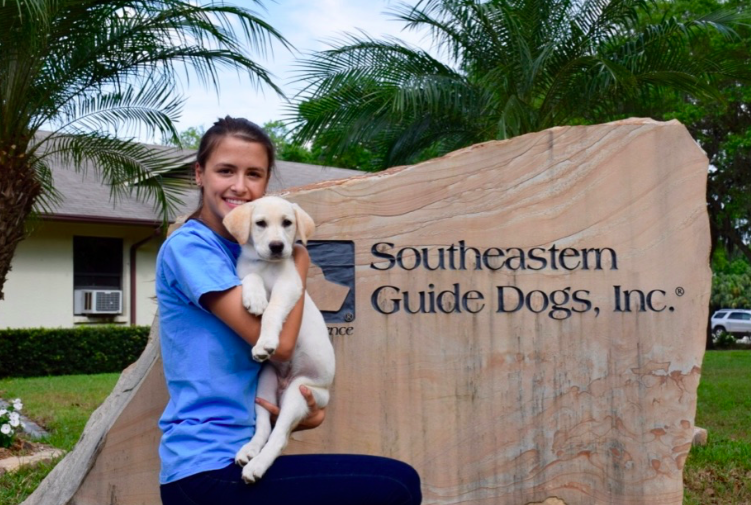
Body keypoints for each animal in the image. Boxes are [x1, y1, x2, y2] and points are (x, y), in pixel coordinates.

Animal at [222, 195, 336, 482]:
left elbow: (273, 310)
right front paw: (254, 299)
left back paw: (257, 466)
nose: (277, 246)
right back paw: (249, 451)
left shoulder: (289, 286)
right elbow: (251, 278)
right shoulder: (243, 275)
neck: (267, 265)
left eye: (287, 223)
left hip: (301, 392)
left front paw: (265, 343)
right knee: (263, 427)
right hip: (264, 384)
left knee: (279, 437)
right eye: (260, 223)